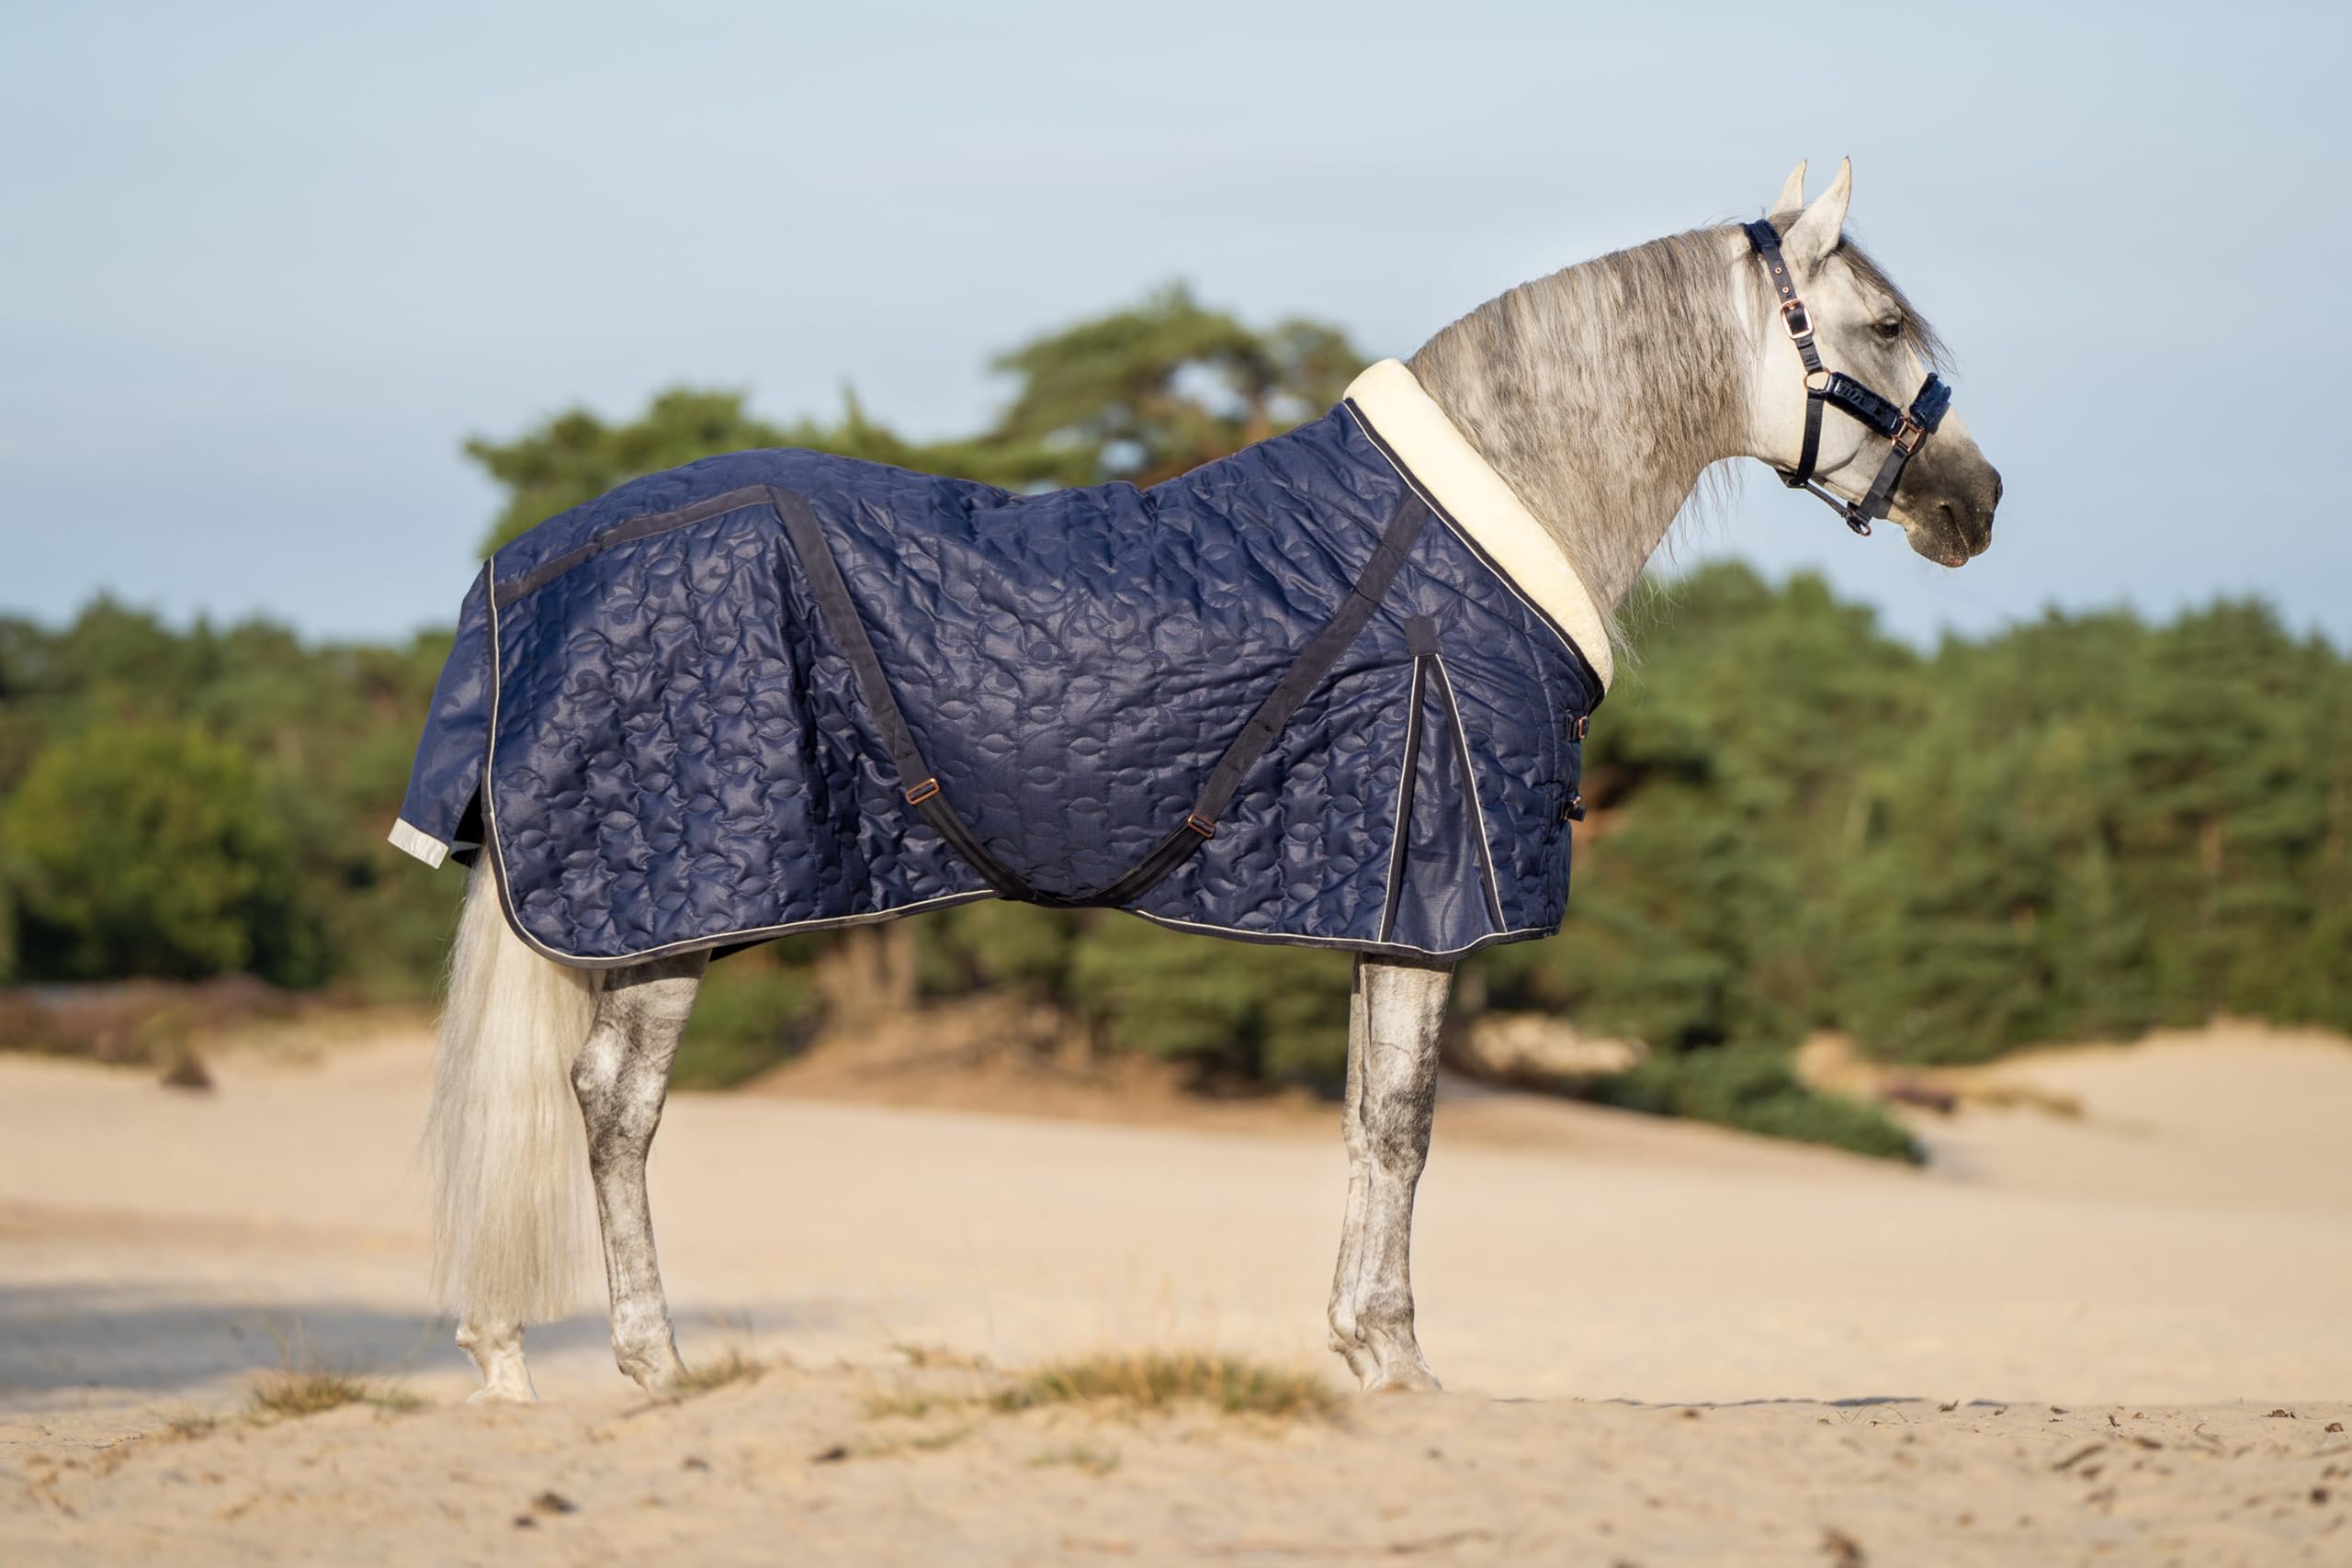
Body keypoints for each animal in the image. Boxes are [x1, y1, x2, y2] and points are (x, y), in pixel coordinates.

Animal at [404, 160, 2003, 1401]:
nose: (1977, 501)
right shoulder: (1434, 889)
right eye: (1881, 322)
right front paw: (1402, 1360)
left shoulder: (1385, 898)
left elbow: (1368, 1117)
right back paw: (654, 1361)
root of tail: (526, 568)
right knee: (614, 1103)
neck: (1479, 528)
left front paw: (1359, 1347)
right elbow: (1410, 1126)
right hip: (679, 894)